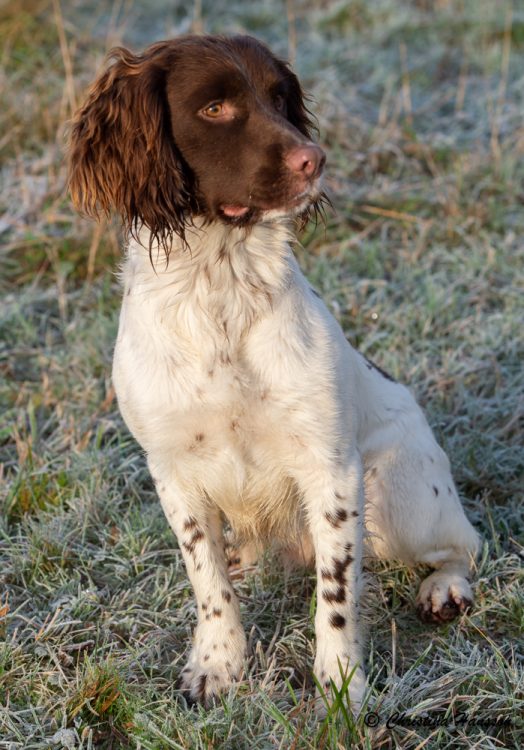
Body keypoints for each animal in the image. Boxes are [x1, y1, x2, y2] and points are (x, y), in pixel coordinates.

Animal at [68, 33, 478, 712]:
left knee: (464, 542)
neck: (220, 291)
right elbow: (207, 581)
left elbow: (335, 594)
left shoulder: (330, 469)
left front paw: (342, 686)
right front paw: (217, 665)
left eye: (280, 97)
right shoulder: (173, 470)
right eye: (214, 109)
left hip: (400, 500)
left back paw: (445, 588)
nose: (315, 159)